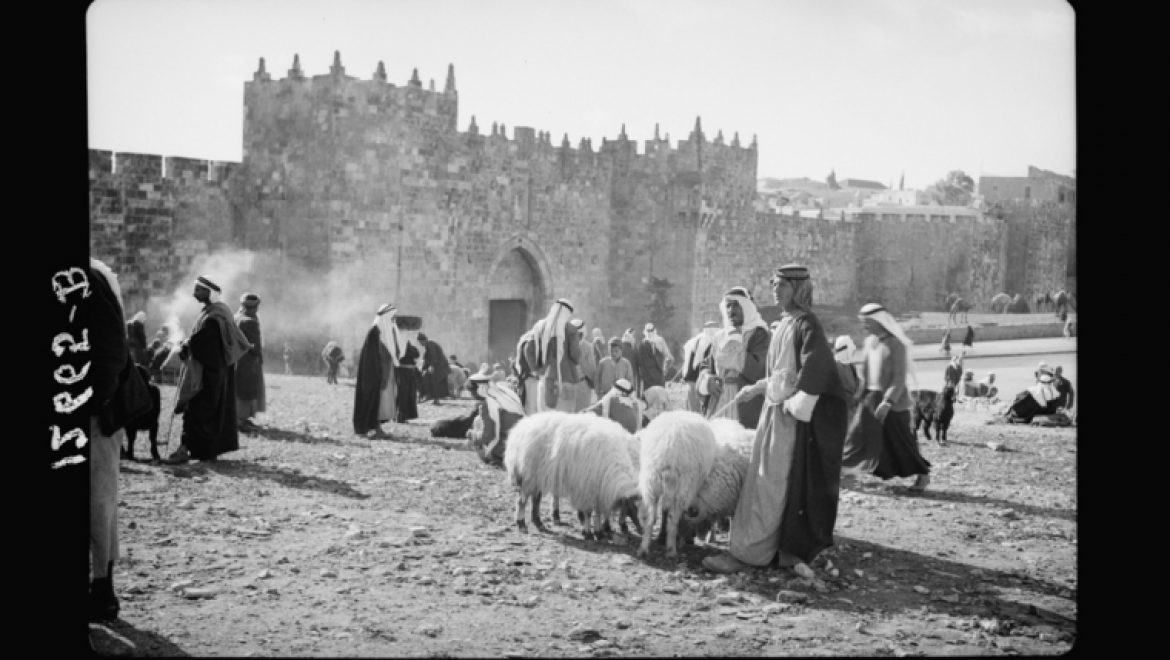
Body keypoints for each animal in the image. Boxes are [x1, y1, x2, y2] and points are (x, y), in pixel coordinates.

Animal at [636, 409, 716, 559]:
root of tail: (669, 446)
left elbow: (664, 510)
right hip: (683, 486)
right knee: (673, 521)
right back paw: (671, 550)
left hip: (651, 482)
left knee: (650, 518)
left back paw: (643, 548)